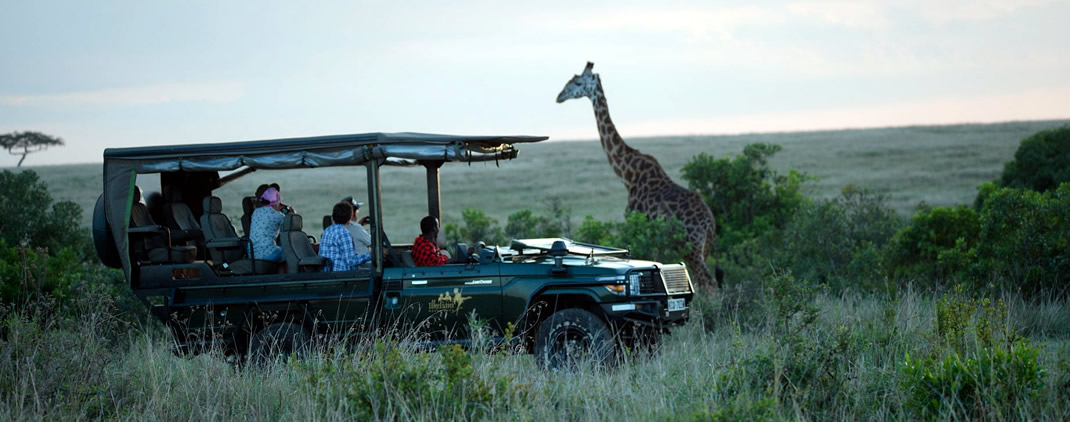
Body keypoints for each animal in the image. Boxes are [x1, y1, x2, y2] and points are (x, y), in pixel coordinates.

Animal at [560, 62, 719, 291]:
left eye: (578, 82)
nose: (559, 96)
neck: (627, 174)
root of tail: (708, 224)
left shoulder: (636, 223)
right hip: (704, 249)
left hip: (690, 248)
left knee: (708, 282)